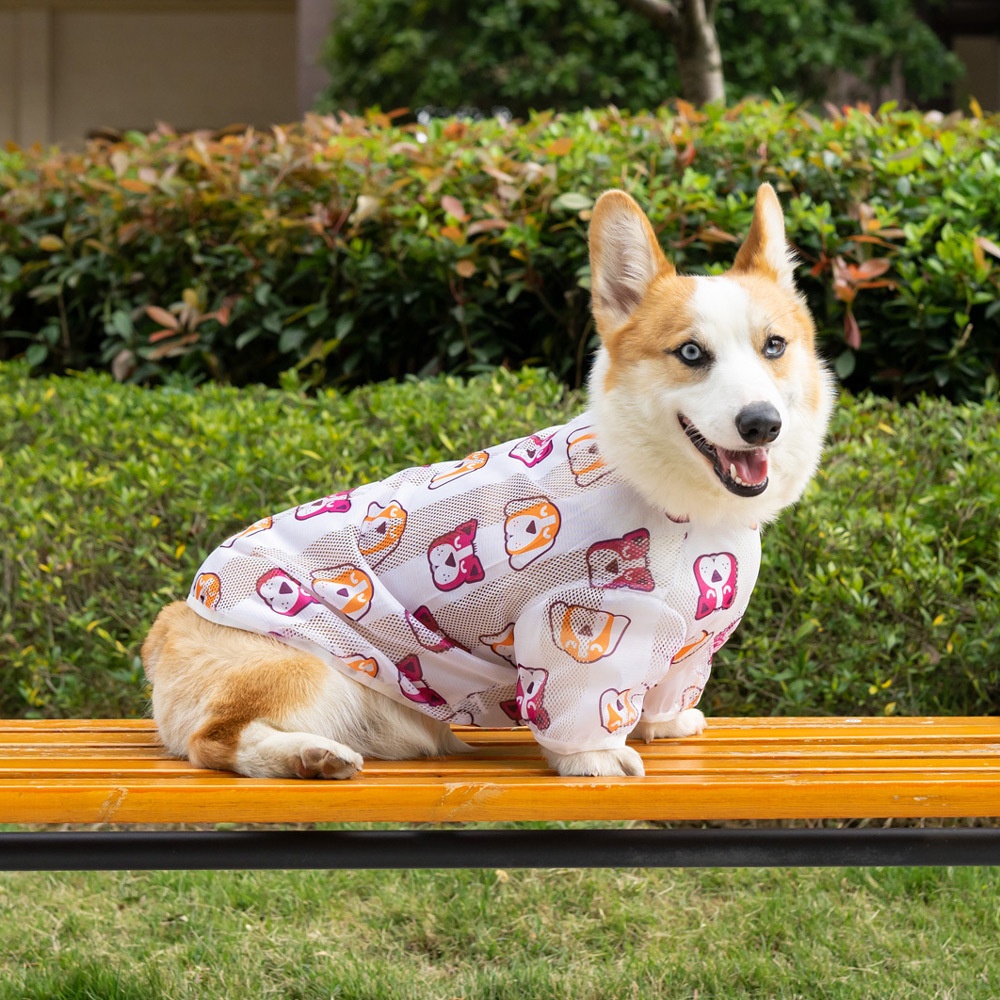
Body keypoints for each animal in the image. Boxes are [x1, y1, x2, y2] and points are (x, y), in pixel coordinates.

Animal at [141, 183, 833, 778]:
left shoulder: (687, 646)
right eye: (691, 354)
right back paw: (312, 757)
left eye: (775, 345)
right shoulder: (574, 625)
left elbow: (666, 689)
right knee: (215, 739)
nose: (761, 423)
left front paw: (663, 723)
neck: (681, 506)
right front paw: (597, 757)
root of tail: (170, 622)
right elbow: (584, 709)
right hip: (308, 665)